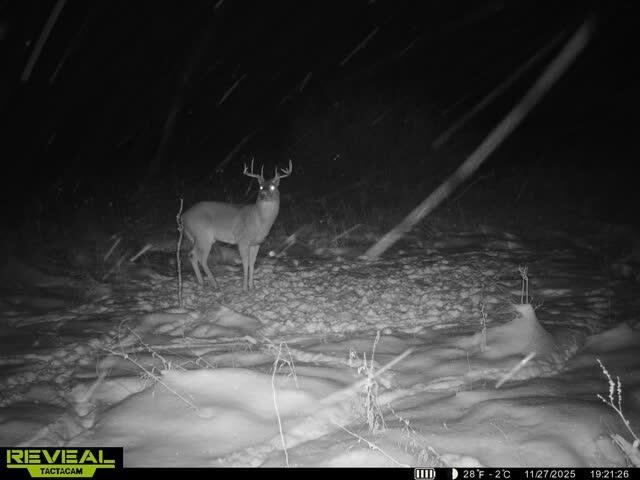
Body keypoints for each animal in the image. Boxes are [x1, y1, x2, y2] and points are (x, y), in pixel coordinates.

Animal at [181, 160, 292, 291]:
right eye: (260, 187)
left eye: (272, 187)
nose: (263, 194)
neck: (258, 220)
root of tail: (183, 216)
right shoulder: (242, 239)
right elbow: (245, 262)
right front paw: (245, 288)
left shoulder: (257, 243)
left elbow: (252, 263)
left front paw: (252, 286)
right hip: (203, 235)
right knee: (202, 259)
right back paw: (215, 284)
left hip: (197, 238)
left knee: (192, 255)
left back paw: (201, 282)